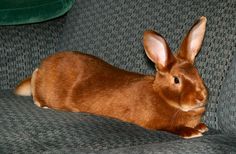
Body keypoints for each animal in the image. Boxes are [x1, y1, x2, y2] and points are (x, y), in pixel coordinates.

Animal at [14, 16, 207, 138]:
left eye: (197, 73)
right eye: (176, 80)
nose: (201, 97)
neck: (162, 95)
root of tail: (42, 66)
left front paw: (201, 127)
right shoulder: (155, 123)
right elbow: (170, 127)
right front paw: (192, 132)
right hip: (43, 87)